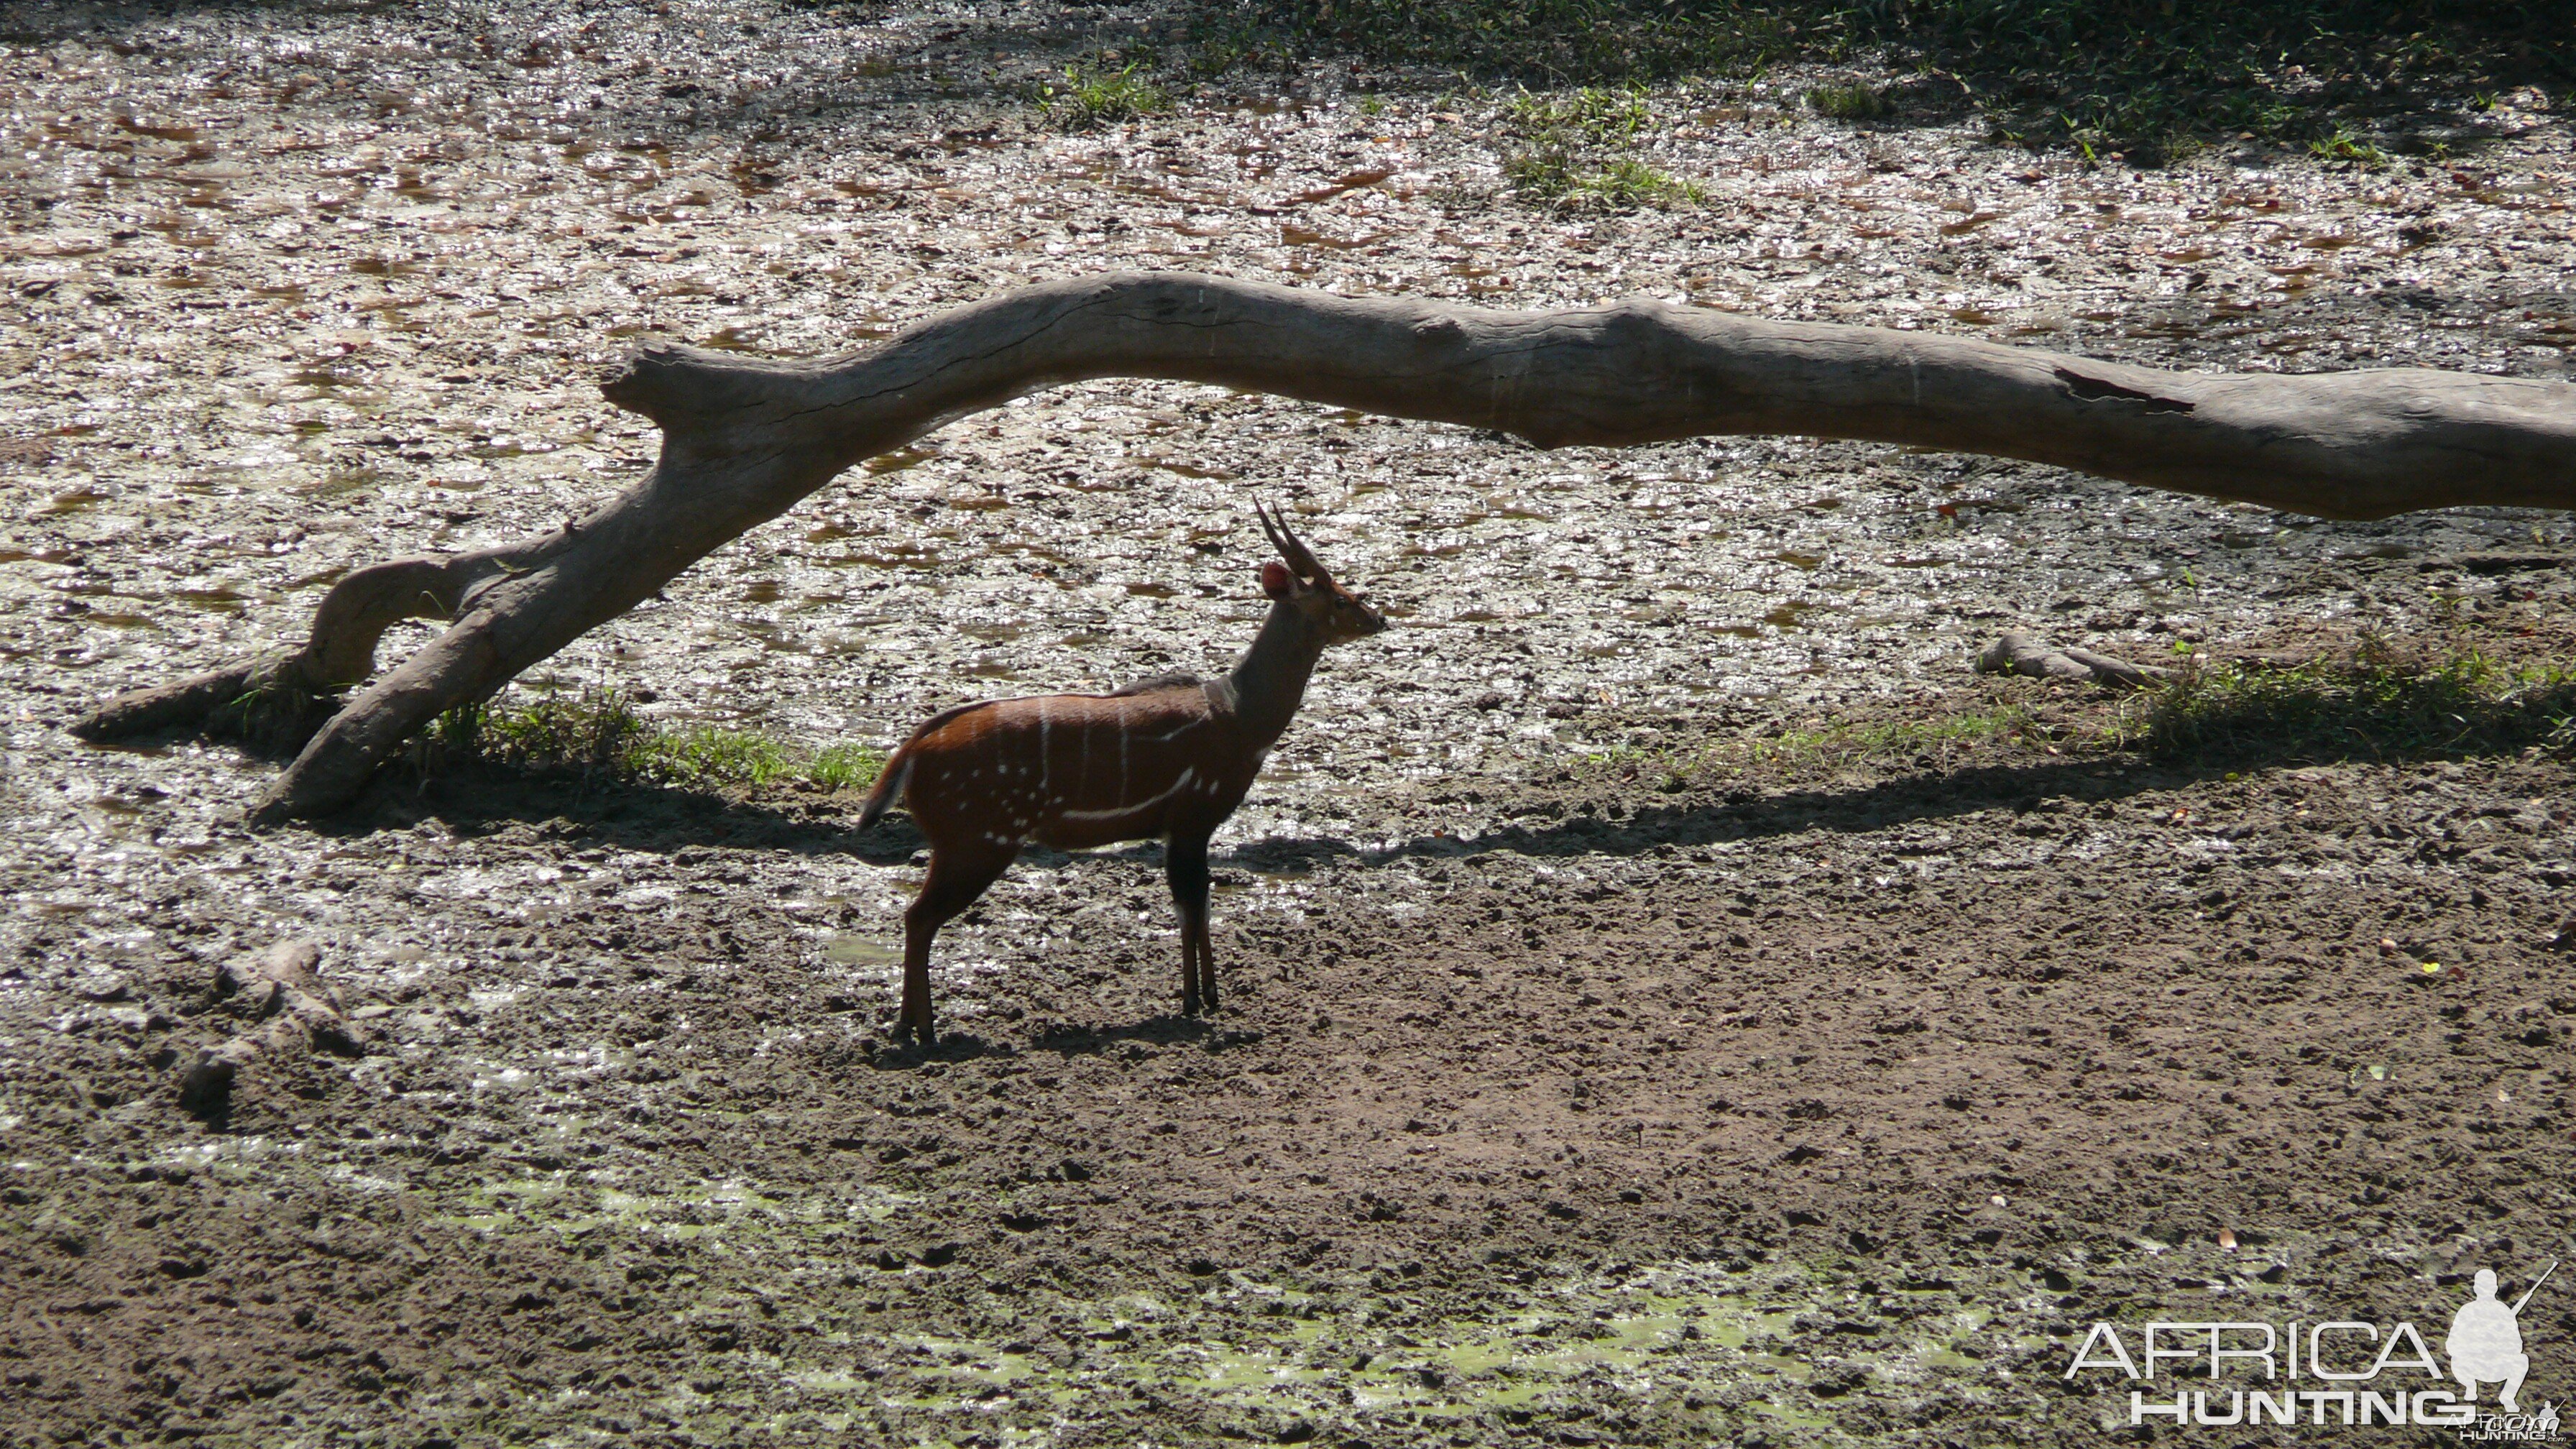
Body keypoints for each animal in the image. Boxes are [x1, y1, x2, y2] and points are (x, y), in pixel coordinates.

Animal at [860, 502, 1391, 1041]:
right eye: (1343, 598)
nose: (1380, 618)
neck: (1241, 714)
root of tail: (912, 751)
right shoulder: (1193, 821)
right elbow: (1194, 904)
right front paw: (1200, 1000)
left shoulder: (1180, 830)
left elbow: (1193, 905)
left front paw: (1202, 997)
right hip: (977, 844)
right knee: (919, 918)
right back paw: (924, 1031)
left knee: (915, 918)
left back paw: (906, 1027)